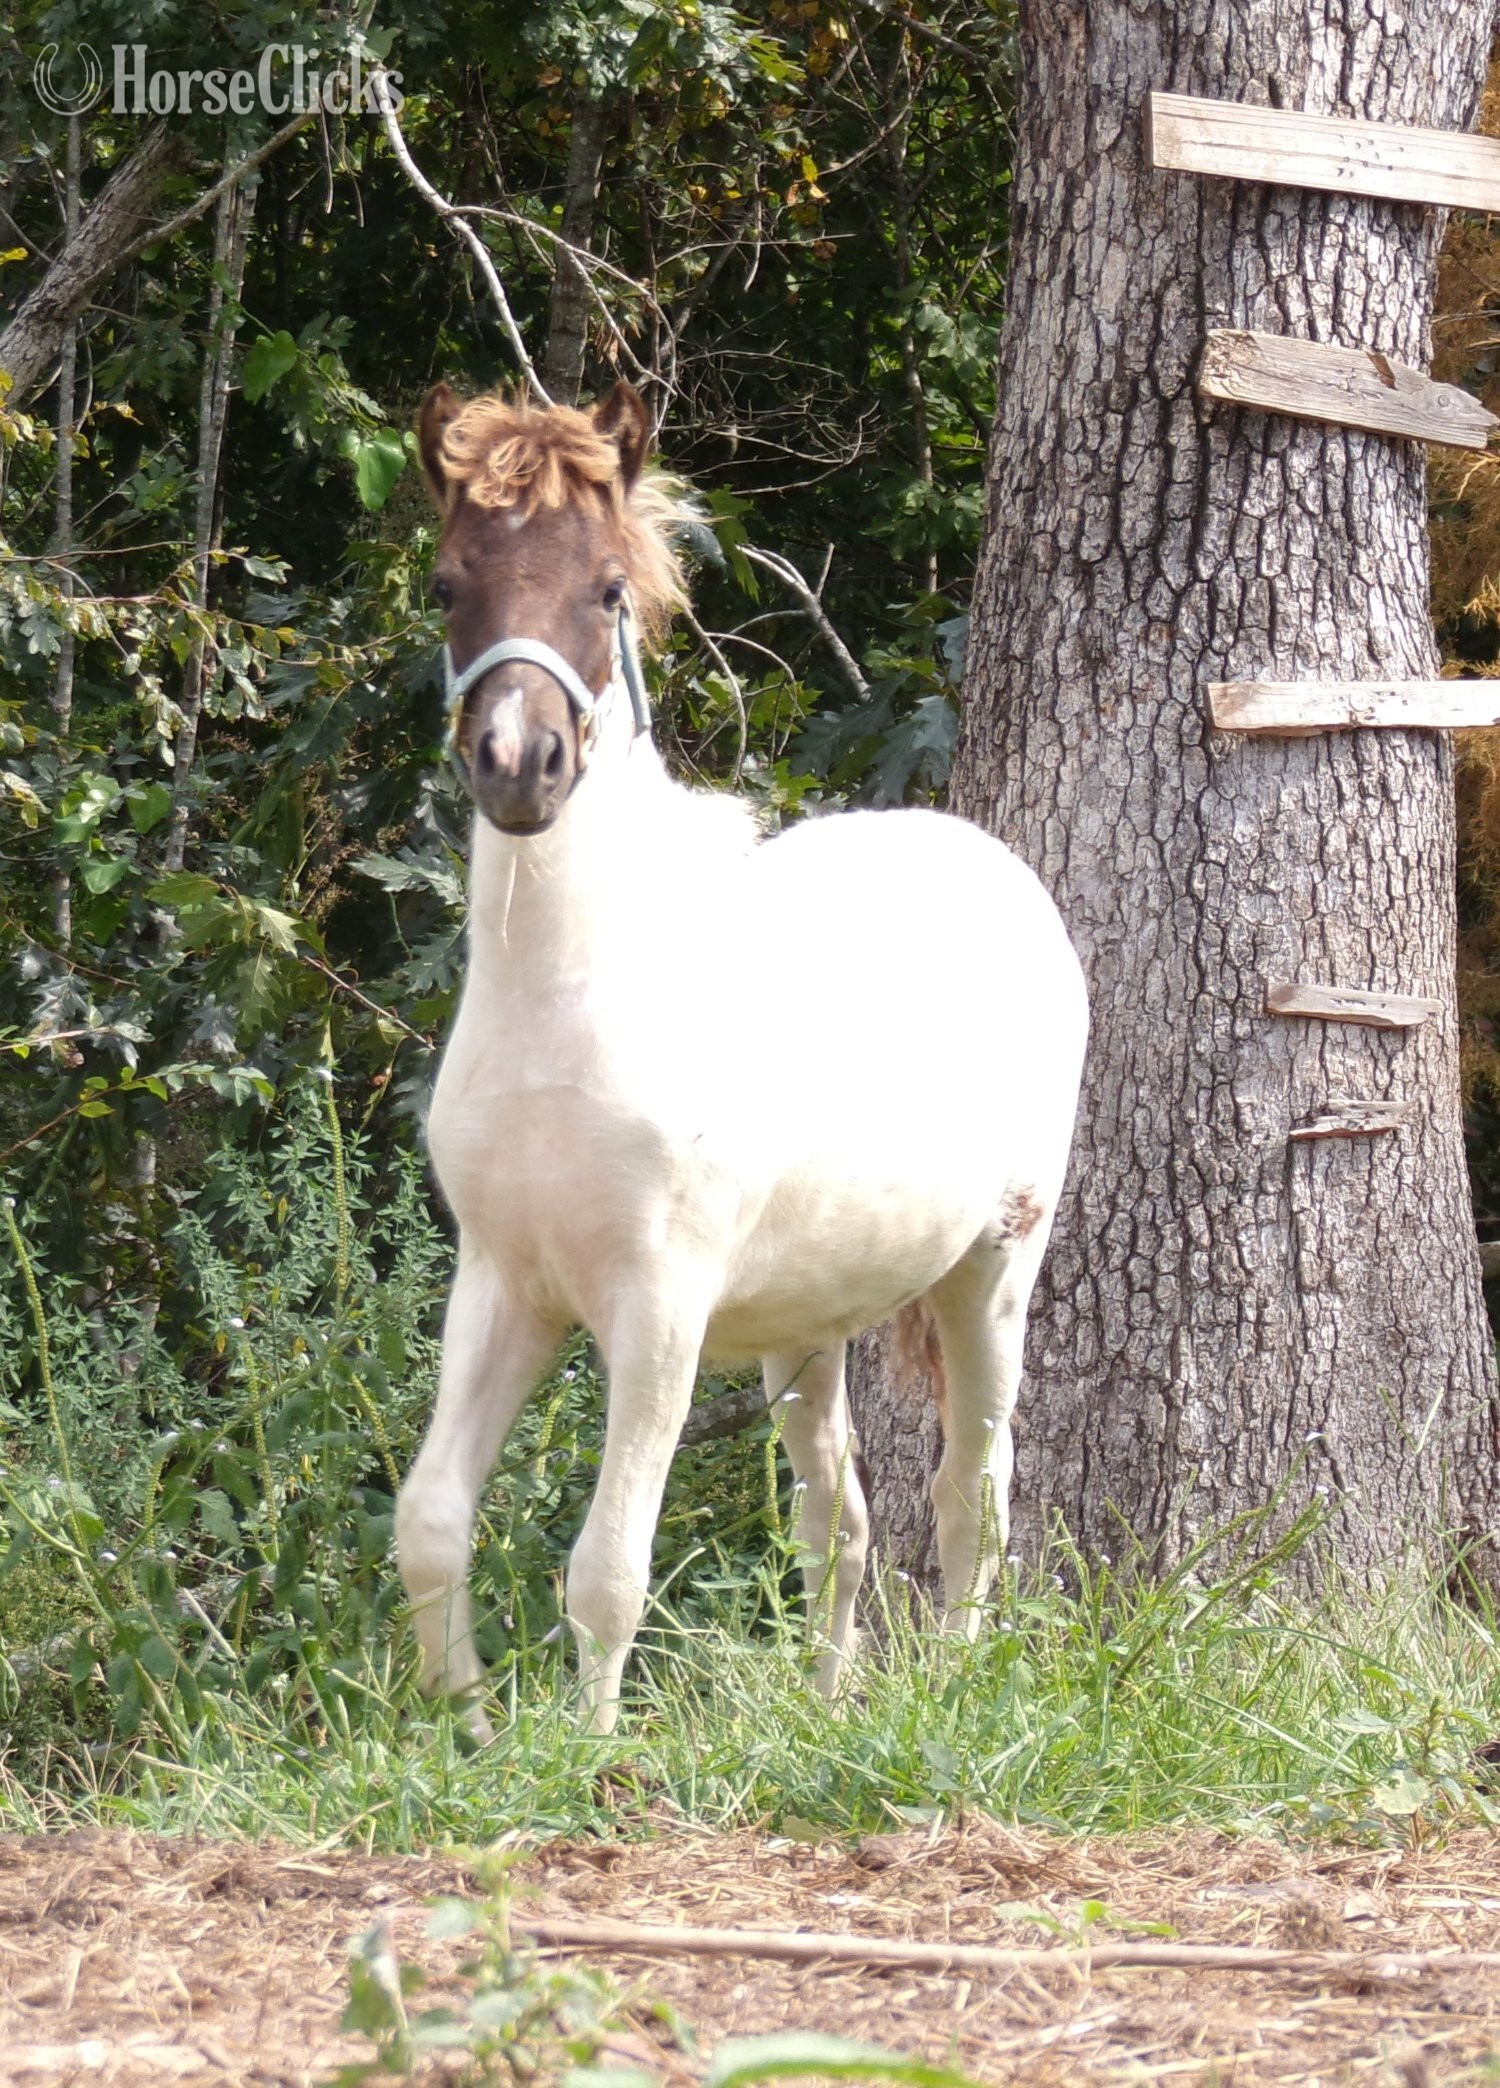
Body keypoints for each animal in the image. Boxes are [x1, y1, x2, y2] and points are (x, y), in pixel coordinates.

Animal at [395, 378, 1088, 1740]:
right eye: (448, 584)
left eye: (609, 587)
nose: (519, 766)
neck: (571, 996)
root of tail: (998, 867)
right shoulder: (503, 1288)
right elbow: (433, 1523)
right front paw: (470, 1734)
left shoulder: (656, 1307)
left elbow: (607, 1566)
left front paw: (588, 1755)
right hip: (804, 1328)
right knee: (842, 1520)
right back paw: (827, 1711)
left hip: (995, 1269)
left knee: (972, 1494)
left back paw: (954, 1692)